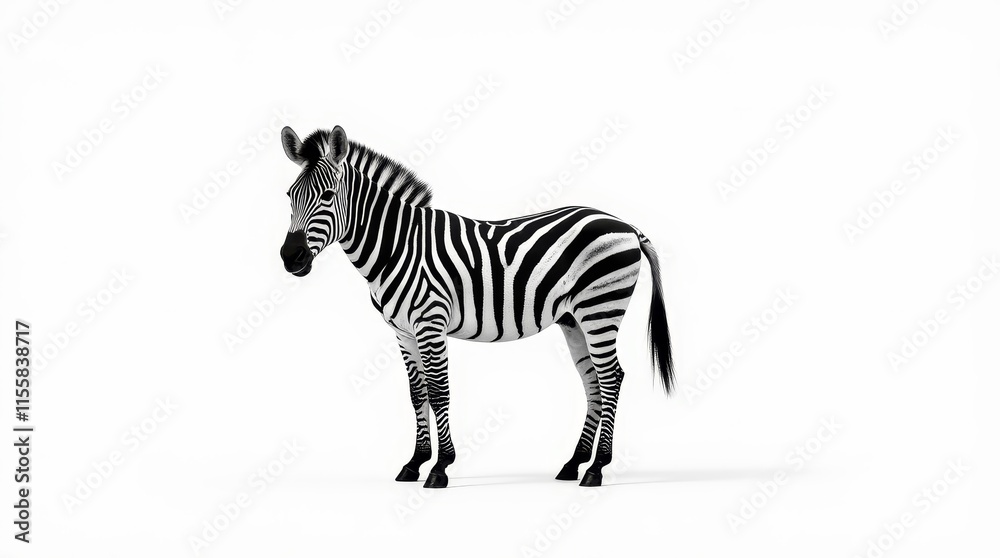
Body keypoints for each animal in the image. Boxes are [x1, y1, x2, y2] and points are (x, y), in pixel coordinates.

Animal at [278, 125, 674, 488]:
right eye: (289, 195)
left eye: (328, 195)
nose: (289, 257)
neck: (397, 247)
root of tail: (626, 225)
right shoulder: (402, 330)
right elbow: (417, 393)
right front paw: (414, 463)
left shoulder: (430, 322)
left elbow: (439, 391)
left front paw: (440, 467)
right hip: (574, 319)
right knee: (593, 382)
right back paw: (574, 464)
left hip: (600, 310)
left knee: (611, 378)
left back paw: (596, 469)